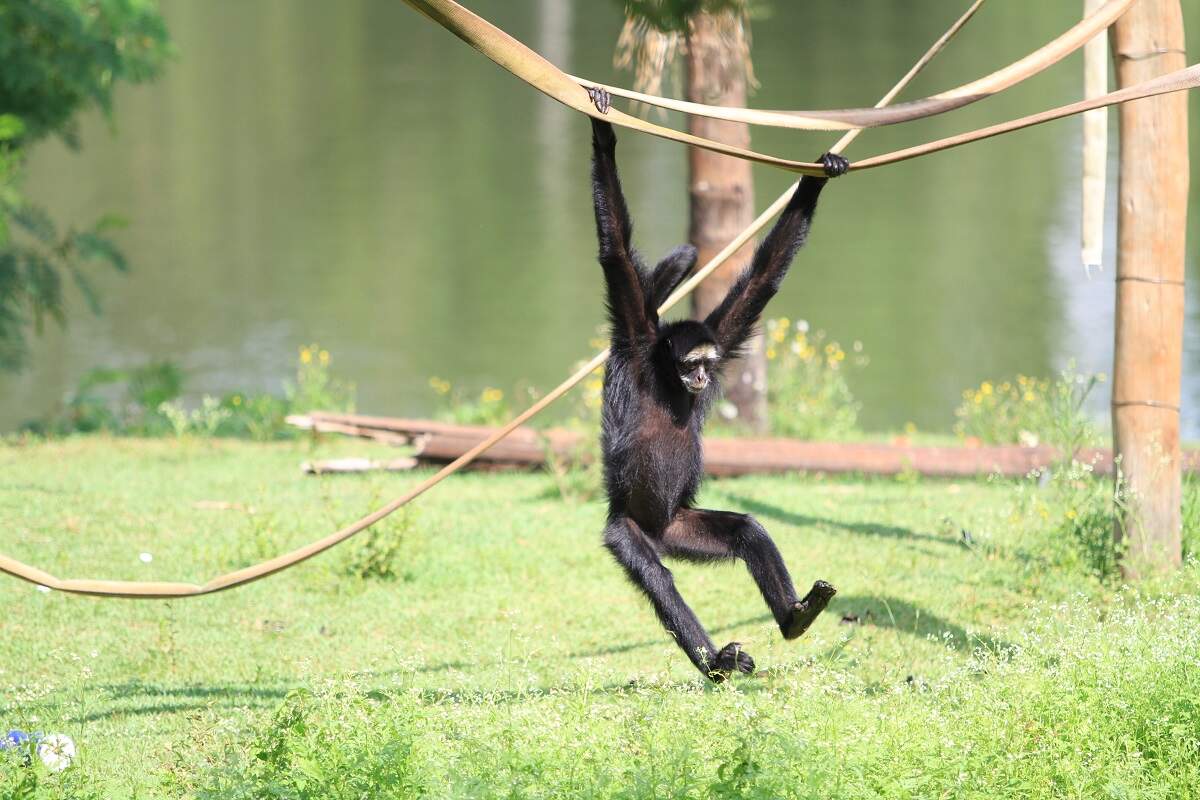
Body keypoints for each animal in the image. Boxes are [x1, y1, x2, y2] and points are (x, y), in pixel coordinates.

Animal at [588, 90, 844, 686]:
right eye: (689, 366)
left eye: (706, 365)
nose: (701, 378)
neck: (664, 375)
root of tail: (660, 526)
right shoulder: (634, 336)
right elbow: (615, 253)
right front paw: (604, 134)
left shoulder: (722, 340)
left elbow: (762, 283)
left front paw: (816, 180)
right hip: (627, 529)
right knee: (656, 574)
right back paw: (716, 662)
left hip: (684, 526)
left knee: (746, 531)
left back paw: (794, 618)